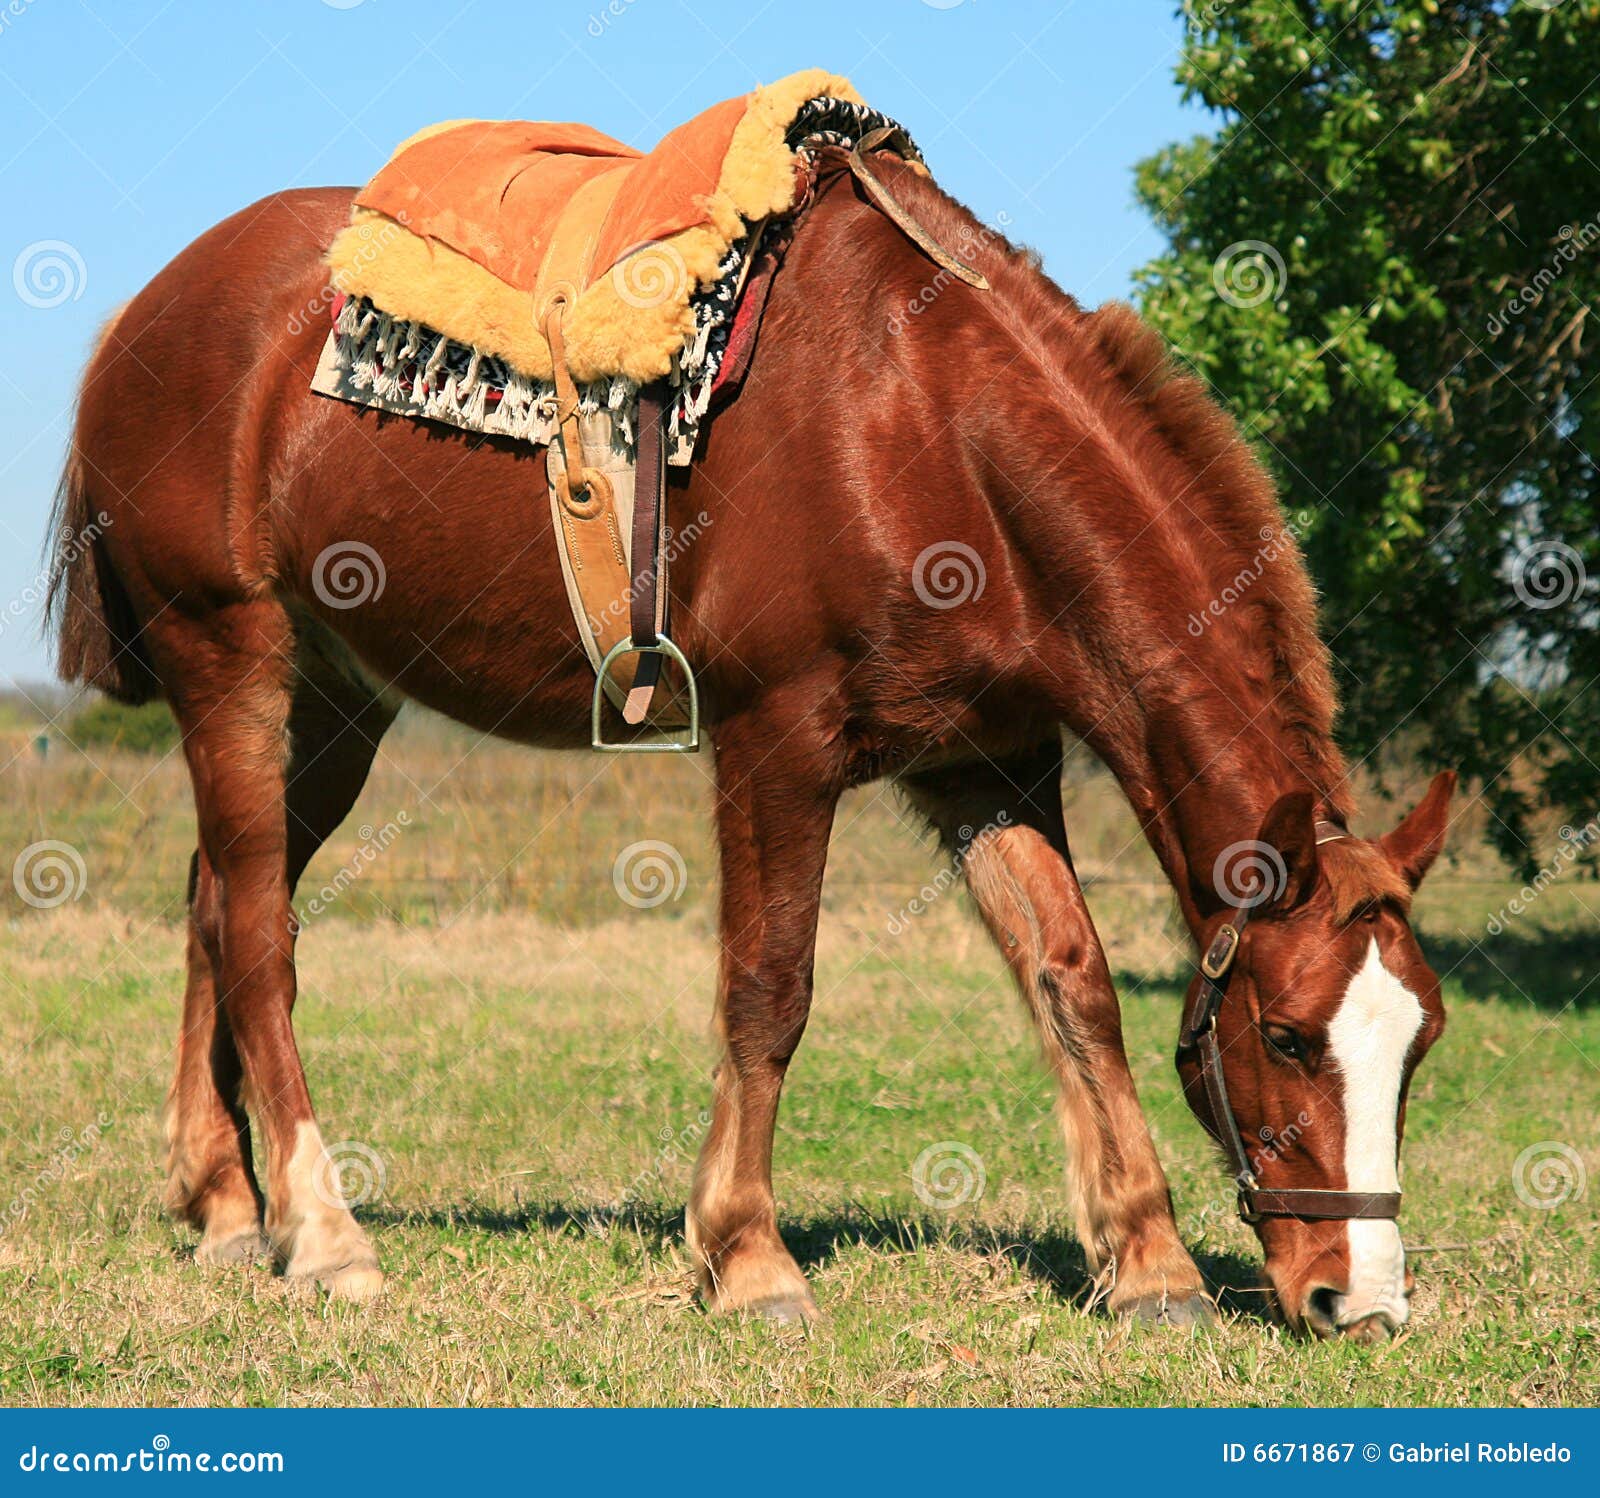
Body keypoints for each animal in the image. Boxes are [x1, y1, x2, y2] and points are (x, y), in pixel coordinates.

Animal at [50, 157, 1452, 1337]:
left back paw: (226, 1204)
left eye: (1421, 1041)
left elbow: (1074, 983)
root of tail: (140, 315)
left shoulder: (988, 764)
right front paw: (747, 1254)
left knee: (217, 900)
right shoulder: (780, 742)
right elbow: (768, 991)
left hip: (336, 703)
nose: (1361, 1299)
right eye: (1286, 1036)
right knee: (258, 932)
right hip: (230, 658)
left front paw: (1148, 1261)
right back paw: (322, 1228)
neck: (928, 420)